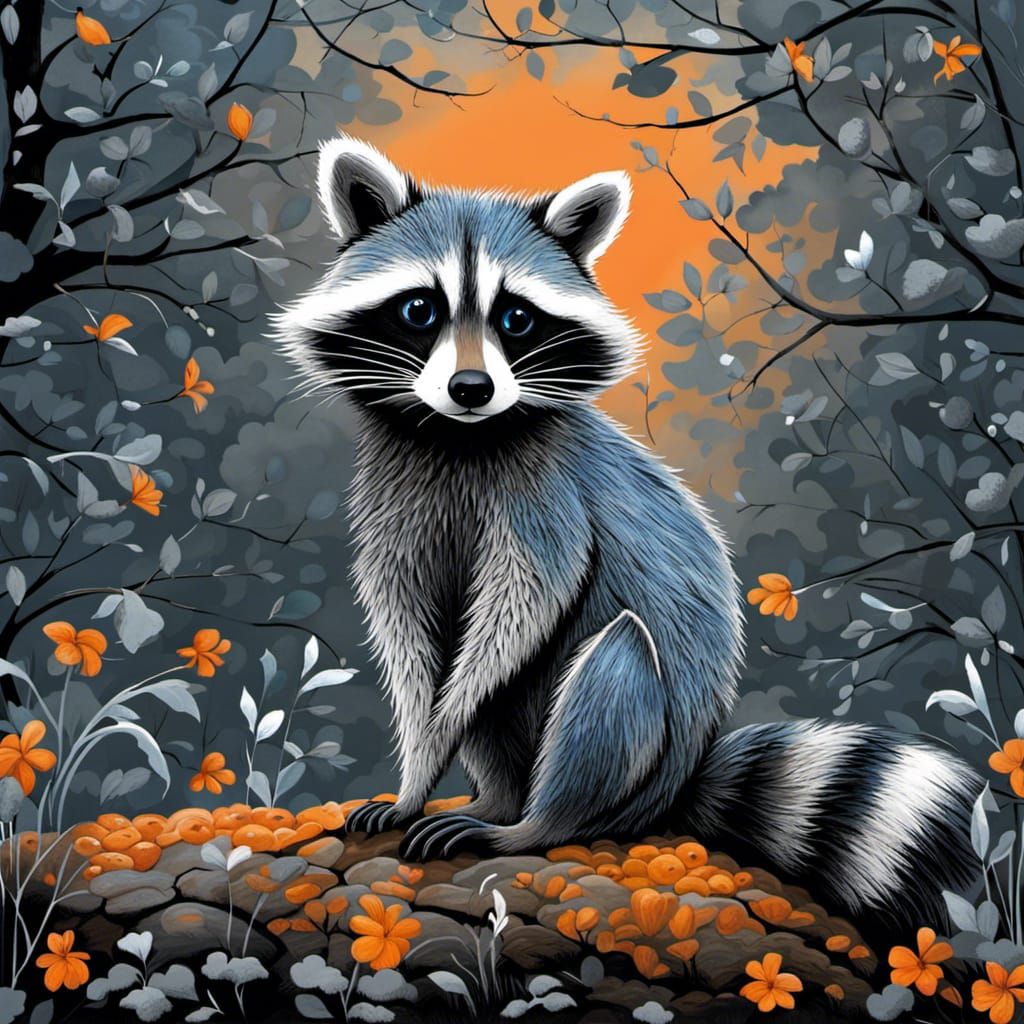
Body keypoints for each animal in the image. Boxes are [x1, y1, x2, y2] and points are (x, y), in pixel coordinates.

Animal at [273, 136, 981, 925]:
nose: (470, 389)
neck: (460, 438)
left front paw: (442, 729)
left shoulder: (549, 496)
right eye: (420, 309)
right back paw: (494, 798)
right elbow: (408, 635)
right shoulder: (395, 496)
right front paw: (418, 769)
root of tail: (676, 786)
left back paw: (534, 823)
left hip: (638, 745)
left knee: (613, 666)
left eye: (515, 319)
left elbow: (526, 605)